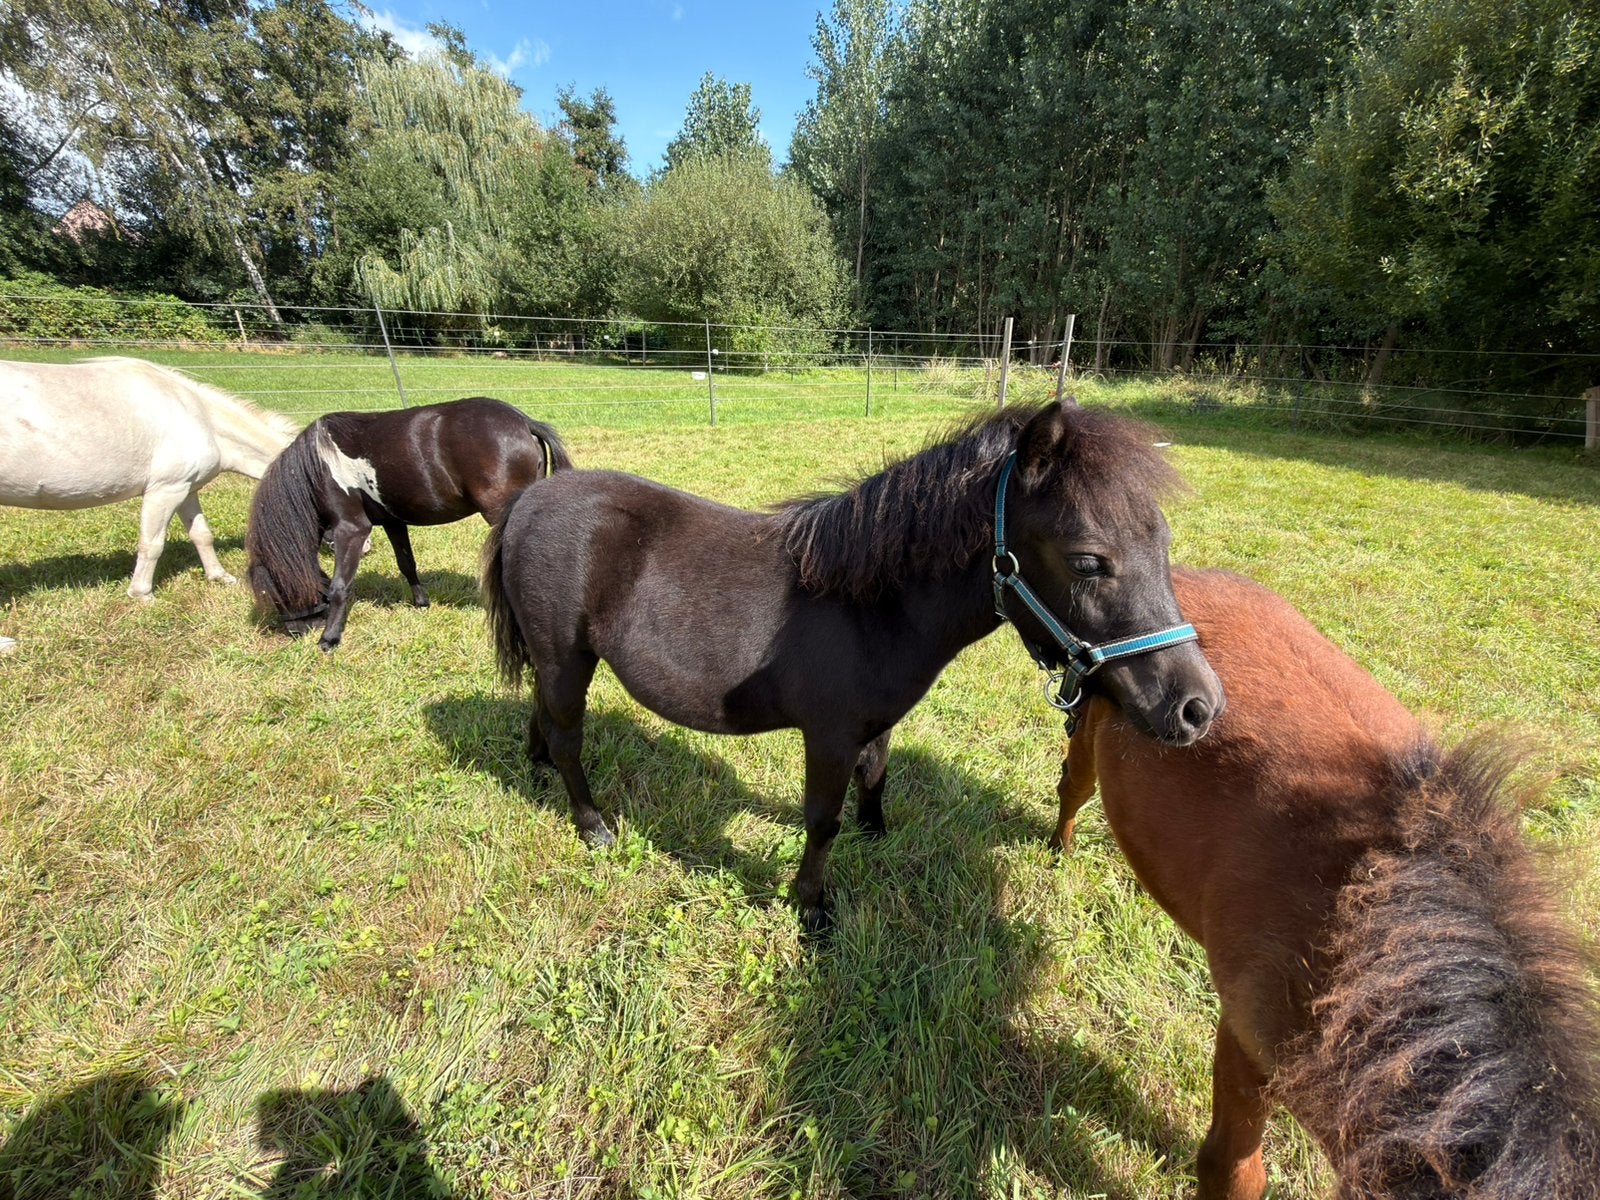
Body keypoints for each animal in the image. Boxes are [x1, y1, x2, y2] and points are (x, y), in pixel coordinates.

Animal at [0, 356, 297, 598]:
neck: (200, 418)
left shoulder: (186, 490)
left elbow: (202, 535)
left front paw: (220, 577)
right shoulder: (164, 491)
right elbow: (152, 544)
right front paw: (142, 595)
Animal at [246, 396, 570, 652]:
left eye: (274, 595)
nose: (298, 632)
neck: (317, 466)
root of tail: (524, 422)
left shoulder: (351, 529)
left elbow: (340, 585)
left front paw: (330, 639)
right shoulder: (393, 521)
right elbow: (407, 563)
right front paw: (421, 603)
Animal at [482, 398, 1225, 933]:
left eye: (1162, 541)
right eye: (1088, 561)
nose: (1199, 707)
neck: (871, 604)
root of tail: (531, 499)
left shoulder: (877, 721)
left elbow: (877, 776)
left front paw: (878, 835)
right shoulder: (829, 736)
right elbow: (822, 819)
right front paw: (811, 906)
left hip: (554, 659)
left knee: (545, 717)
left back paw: (536, 764)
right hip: (567, 657)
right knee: (569, 734)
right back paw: (592, 824)